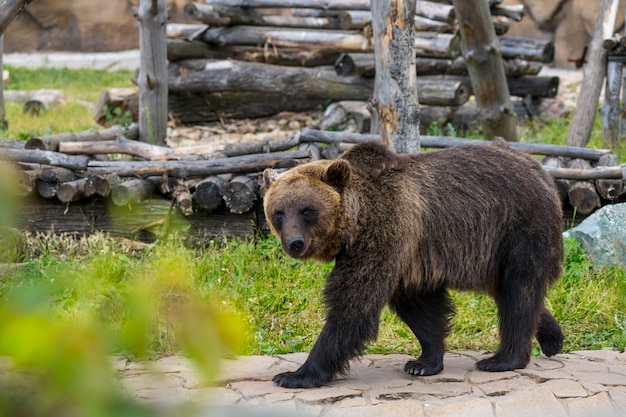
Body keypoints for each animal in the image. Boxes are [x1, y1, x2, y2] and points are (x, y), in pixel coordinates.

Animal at [260, 140, 564, 386]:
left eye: (307, 210)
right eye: (278, 212)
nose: (294, 242)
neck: (354, 225)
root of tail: (539, 169)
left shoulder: (386, 232)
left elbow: (354, 303)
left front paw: (295, 374)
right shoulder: (409, 256)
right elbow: (419, 306)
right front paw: (423, 362)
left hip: (517, 229)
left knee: (519, 289)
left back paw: (502, 359)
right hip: (493, 252)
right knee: (511, 291)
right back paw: (553, 338)